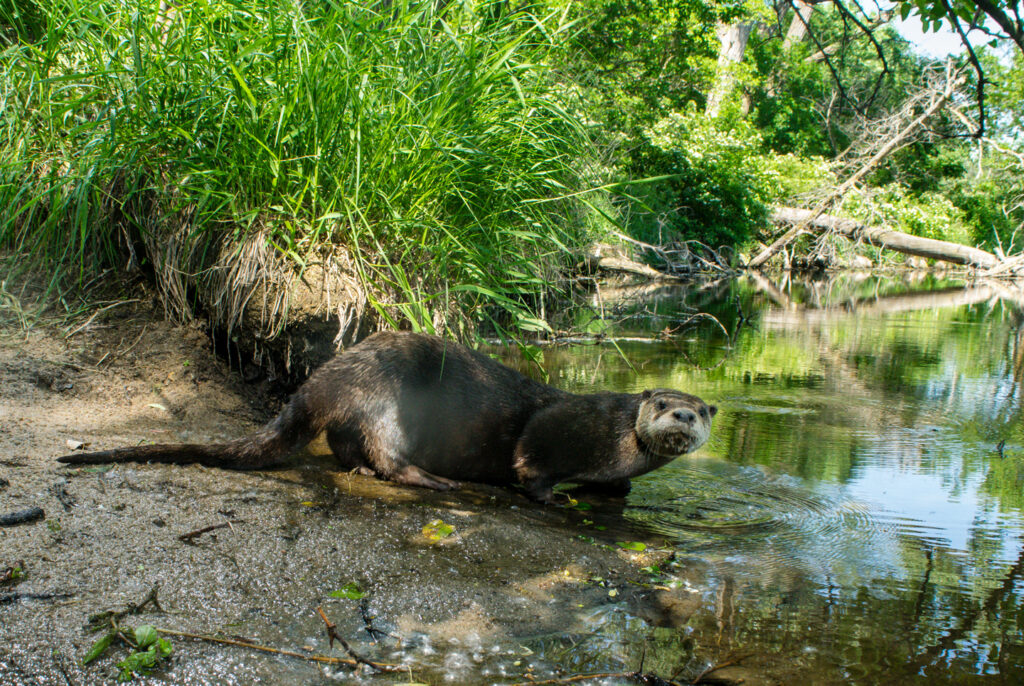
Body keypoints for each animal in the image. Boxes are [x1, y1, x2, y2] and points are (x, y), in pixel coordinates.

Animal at [56, 333, 712, 505]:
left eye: (701, 410)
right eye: (660, 404)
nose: (685, 413)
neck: (614, 440)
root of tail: (328, 374)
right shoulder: (562, 425)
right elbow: (532, 461)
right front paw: (552, 497)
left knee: (349, 447)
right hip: (387, 402)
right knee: (386, 454)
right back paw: (431, 480)